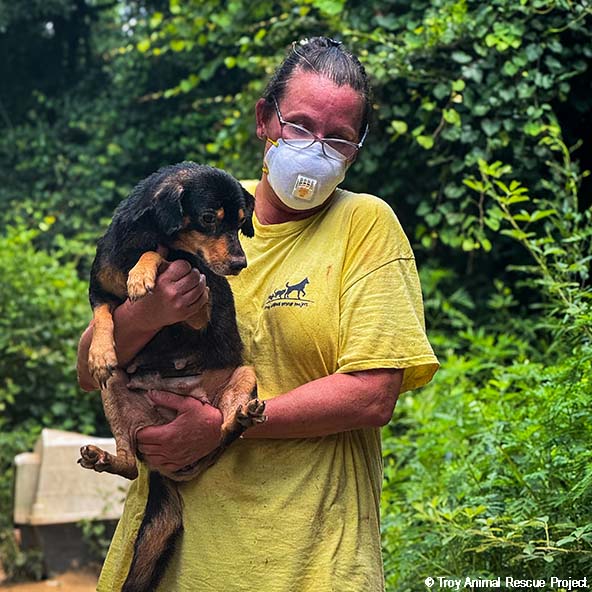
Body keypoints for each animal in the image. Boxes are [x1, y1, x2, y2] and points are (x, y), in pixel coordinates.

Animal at [77, 162, 266, 592]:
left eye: (241, 222)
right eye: (209, 219)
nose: (239, 265)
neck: (145, 235)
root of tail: (170, 473)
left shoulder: (199, 304)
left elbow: (163, 257)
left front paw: (143, 273)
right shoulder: (99, 291)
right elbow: (104, 315)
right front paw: (100, 352)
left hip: (243, 375)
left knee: (223, 428)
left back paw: (241, 417)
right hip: (114, 391)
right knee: (130, 464)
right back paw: (103, 456)